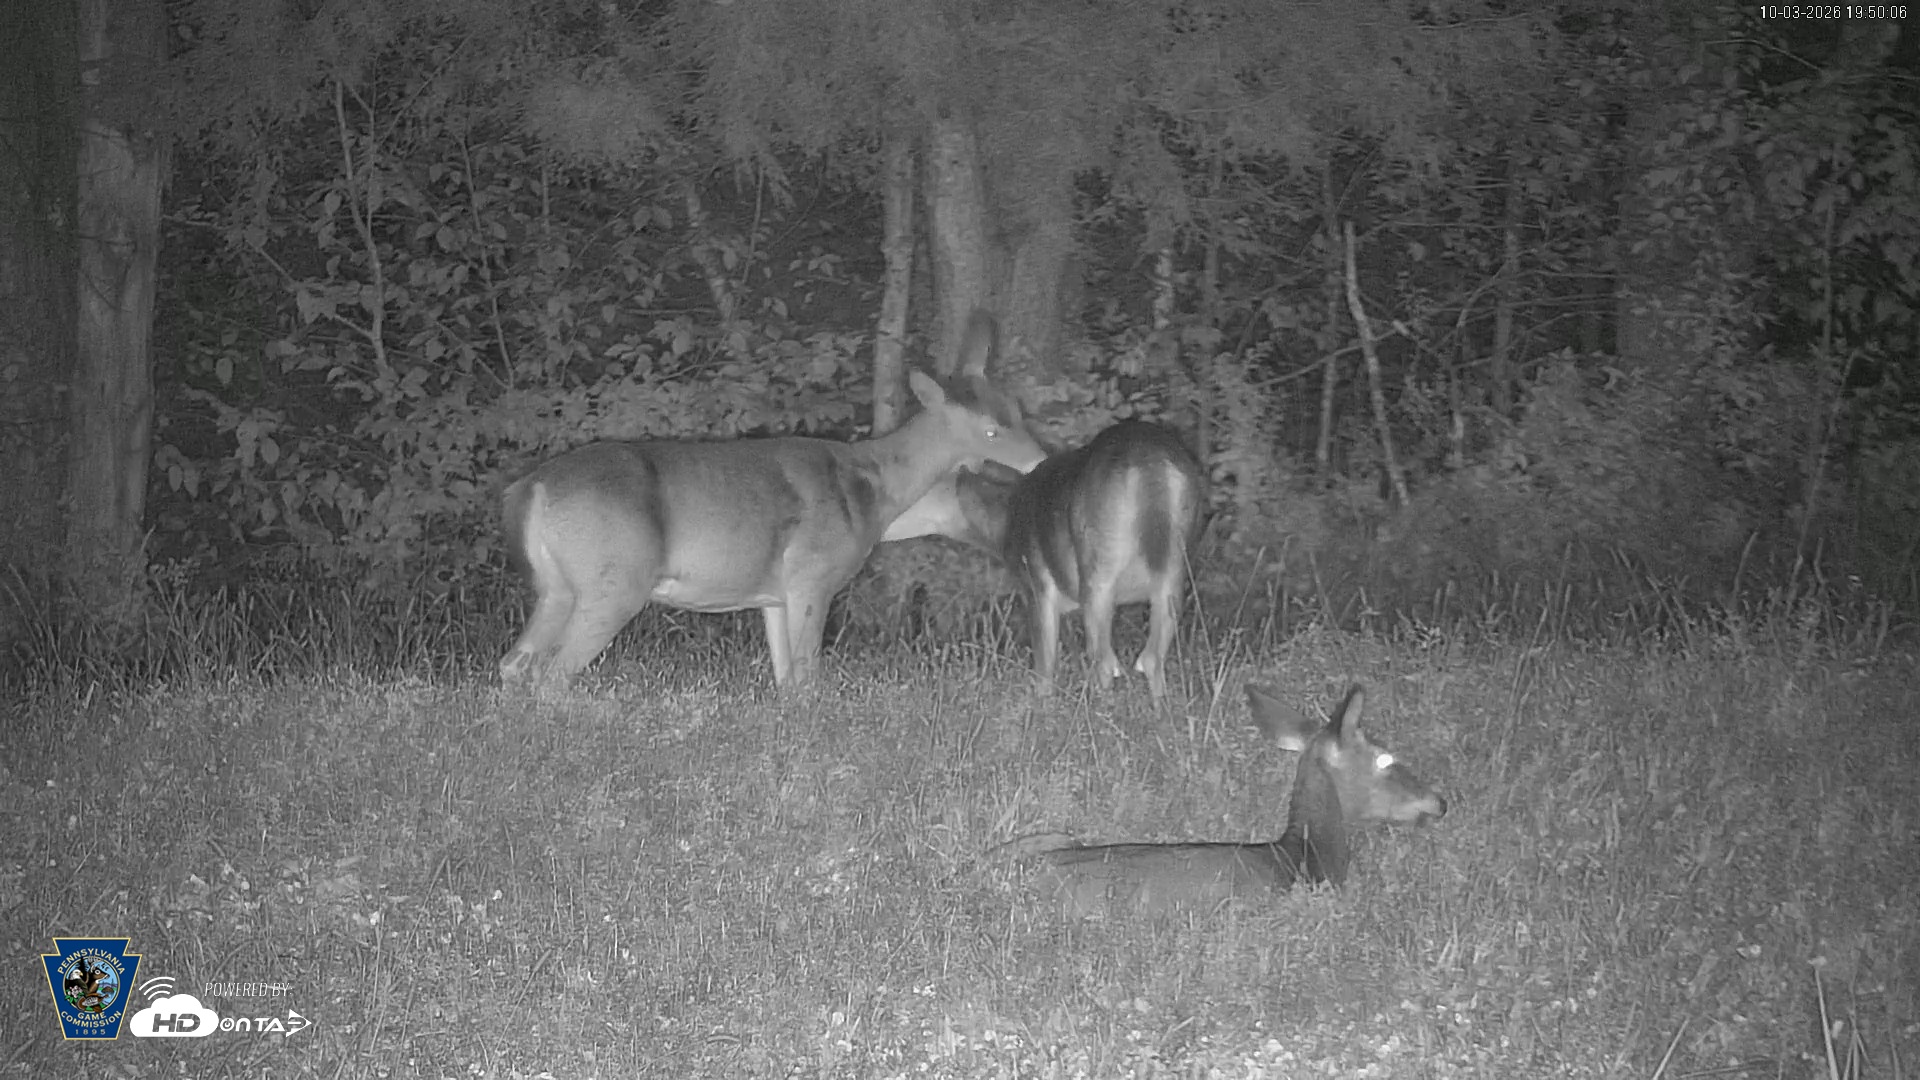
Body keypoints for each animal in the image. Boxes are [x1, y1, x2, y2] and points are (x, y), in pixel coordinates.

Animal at [499, 311, 1047, 688]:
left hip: (556, 586)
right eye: (992, 430)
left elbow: (786, 681)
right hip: (615, 579)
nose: (1041, 460)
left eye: (1018, 409)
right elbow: (807, 679)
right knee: (551, 675)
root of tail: (532, 487)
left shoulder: (774, 595)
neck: (873, 492)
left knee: (513, 664)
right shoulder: (813, 574)